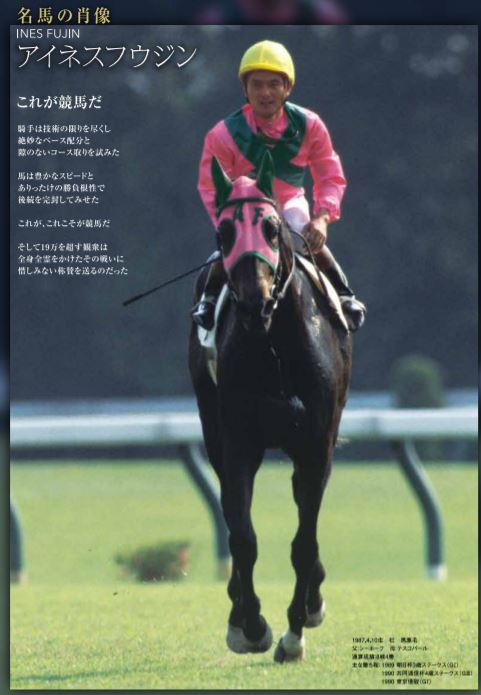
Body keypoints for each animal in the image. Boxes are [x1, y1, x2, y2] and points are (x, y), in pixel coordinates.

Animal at [188, 152, 352, 662]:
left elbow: (303, 542)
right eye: (223, 233)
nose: (255, 300)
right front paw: (250, 624)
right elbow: (242, 535)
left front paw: (295, 631)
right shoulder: (237, 440)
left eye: (272, 228)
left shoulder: (316, 444)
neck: (274, 346)